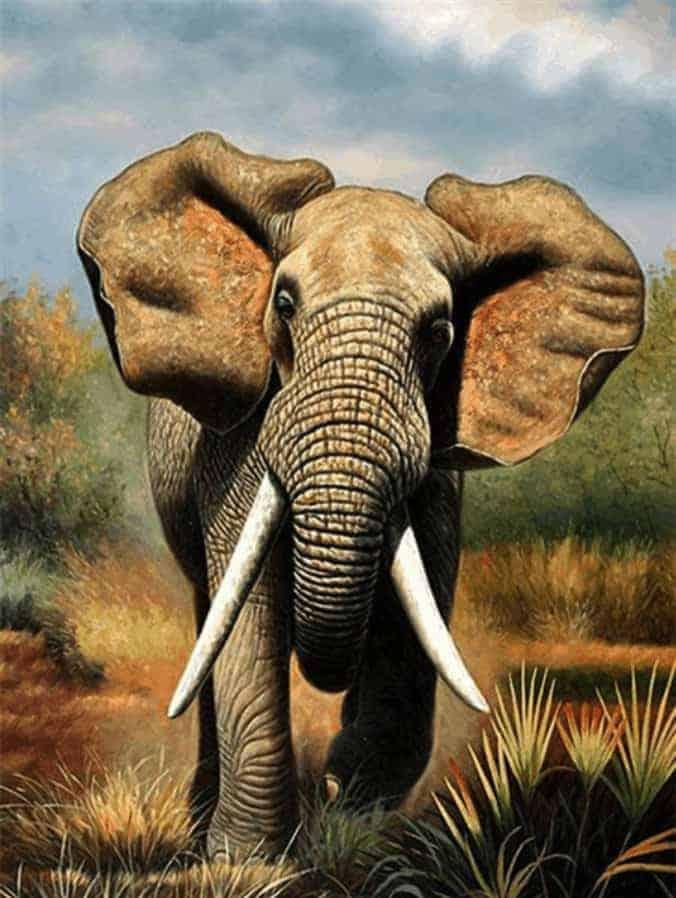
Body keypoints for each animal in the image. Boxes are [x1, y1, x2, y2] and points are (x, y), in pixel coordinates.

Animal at [77, 132, 644, 860]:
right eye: (284, 305)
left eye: (440, 330)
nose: (332, 777)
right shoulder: (237, 449)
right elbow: (250, 614)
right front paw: (249, 861)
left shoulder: (436, 474)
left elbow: (414, 616)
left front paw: (351, 812)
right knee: (211, 614)